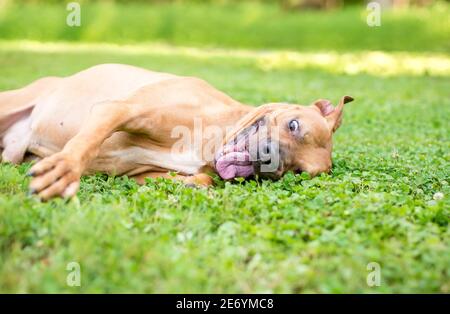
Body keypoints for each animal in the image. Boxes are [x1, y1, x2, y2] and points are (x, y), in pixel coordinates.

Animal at [0, 63, 352, 200]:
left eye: (296, 172)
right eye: (294, 126)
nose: (270, 164)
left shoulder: (138, 173)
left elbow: (202, 179)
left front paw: (193, 185)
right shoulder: (116, 109)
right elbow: (84, 143)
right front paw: (64, 169)